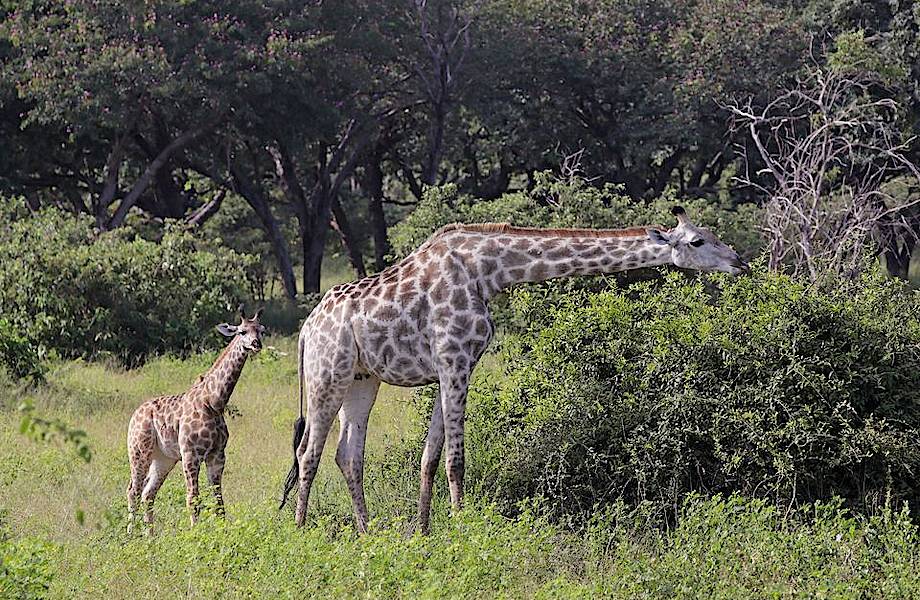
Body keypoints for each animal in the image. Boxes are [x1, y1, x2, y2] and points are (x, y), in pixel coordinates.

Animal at [126, 308, 264, 532]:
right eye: (242, 331)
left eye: (261, 330)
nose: (256, 344)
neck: (214, 402)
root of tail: (135, 414)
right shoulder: (191, 453)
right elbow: (193, 499)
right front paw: (195, 534)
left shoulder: (217, 455)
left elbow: (219, 501)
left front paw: (222, 532)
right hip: (139, 451)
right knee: (133, 491)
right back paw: (131, 535)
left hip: (164, 458)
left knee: (148, 493)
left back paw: (150, 535)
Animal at [278, 205, 748, 528]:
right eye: (697, 241)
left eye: (711, 234)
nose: (739, 261)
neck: (489, 272)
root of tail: (306, 331)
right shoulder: (453, 359)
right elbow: (455, 459)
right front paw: (462, 530)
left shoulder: (454, 366)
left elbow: (430, 457)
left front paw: (423, 533)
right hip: (327, 374)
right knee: (307, 453)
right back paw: (301, 532)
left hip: (362, 380)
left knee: (347, 455)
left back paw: (367, 532)